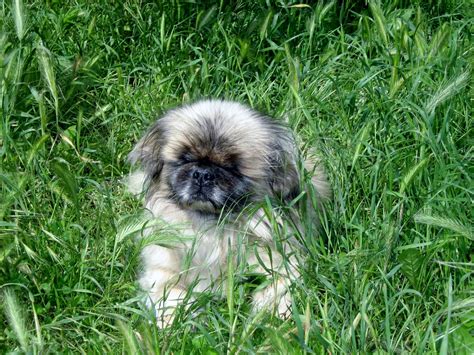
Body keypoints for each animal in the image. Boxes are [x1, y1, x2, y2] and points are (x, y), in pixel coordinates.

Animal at [128, 99, 332, 328]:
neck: (211, 227)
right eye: (185, 159)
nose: (203, 174)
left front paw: (271, 320)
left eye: (233, 168)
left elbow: (275, 293)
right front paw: (172, 323)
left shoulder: (285, 263)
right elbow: (170, 298)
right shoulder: (162, 271)